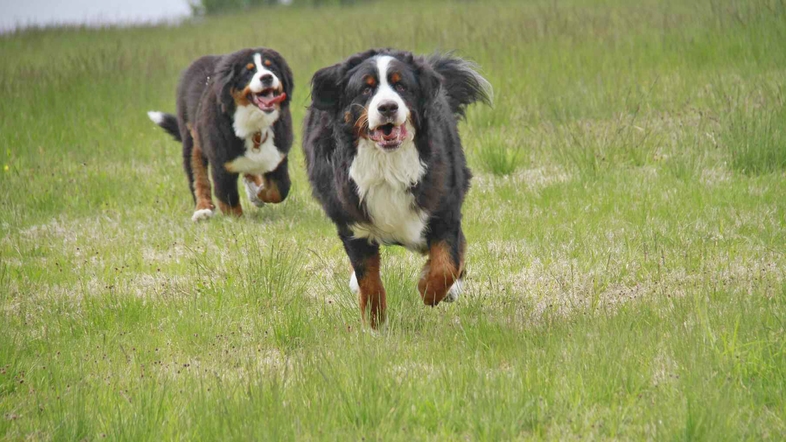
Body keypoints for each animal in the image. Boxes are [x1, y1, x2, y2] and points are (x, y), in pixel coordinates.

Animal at [149, 48, 292, 221]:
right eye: (248, 71)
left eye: (272, 68)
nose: (267, 77)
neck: (255, 124)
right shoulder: (221, 162)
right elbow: (228, 198)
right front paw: (236, 220)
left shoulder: (278, 156)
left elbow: (280, 189)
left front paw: (257, 194)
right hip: (192, 140)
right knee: (198, 177)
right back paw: (202, 210)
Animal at [302, 49, 490, 328]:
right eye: (366, 89)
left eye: (401, 86)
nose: (388, 107)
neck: (387, 166)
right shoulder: (353, 221)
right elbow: (368, 280)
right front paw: (375, 325)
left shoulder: (442, 206)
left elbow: (447, 263)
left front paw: (429, 289)